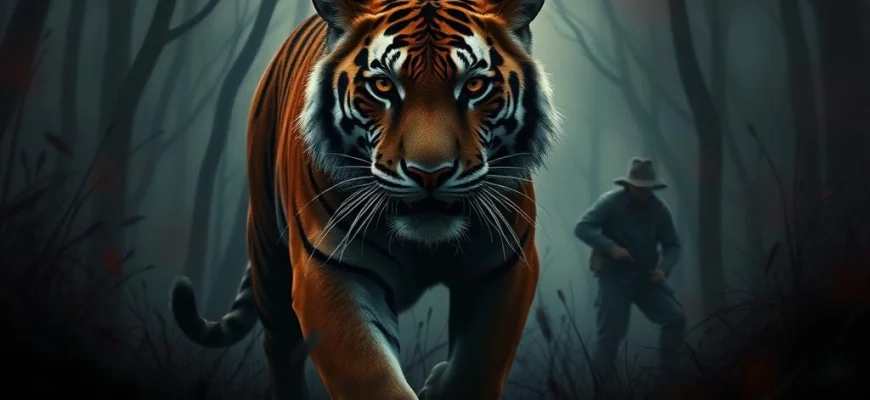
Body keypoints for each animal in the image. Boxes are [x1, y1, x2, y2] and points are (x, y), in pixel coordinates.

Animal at [169, 1, 559, 399]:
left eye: (475, 85)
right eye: (383, 85)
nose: (429, 173)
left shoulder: (505, 267)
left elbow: (474, 370)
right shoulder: (331, 270)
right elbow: (370, 375)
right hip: (267, 253)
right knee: (280, 348)